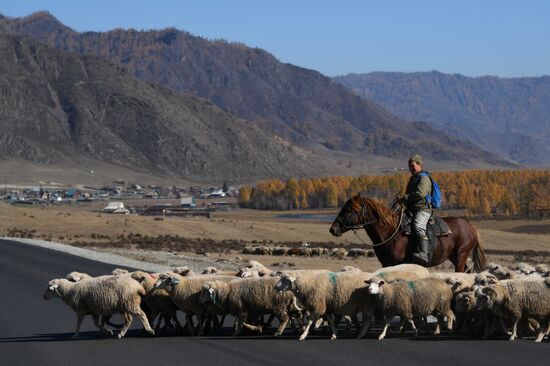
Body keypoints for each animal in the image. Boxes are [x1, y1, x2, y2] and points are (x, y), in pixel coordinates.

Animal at [330, 194, 486, 272]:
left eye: (349, 210)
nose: (333, 229)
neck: (391, 232)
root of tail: (470, 226)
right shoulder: (386, 264)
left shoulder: (398, 263)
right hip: (454, 256)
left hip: (461, 255)